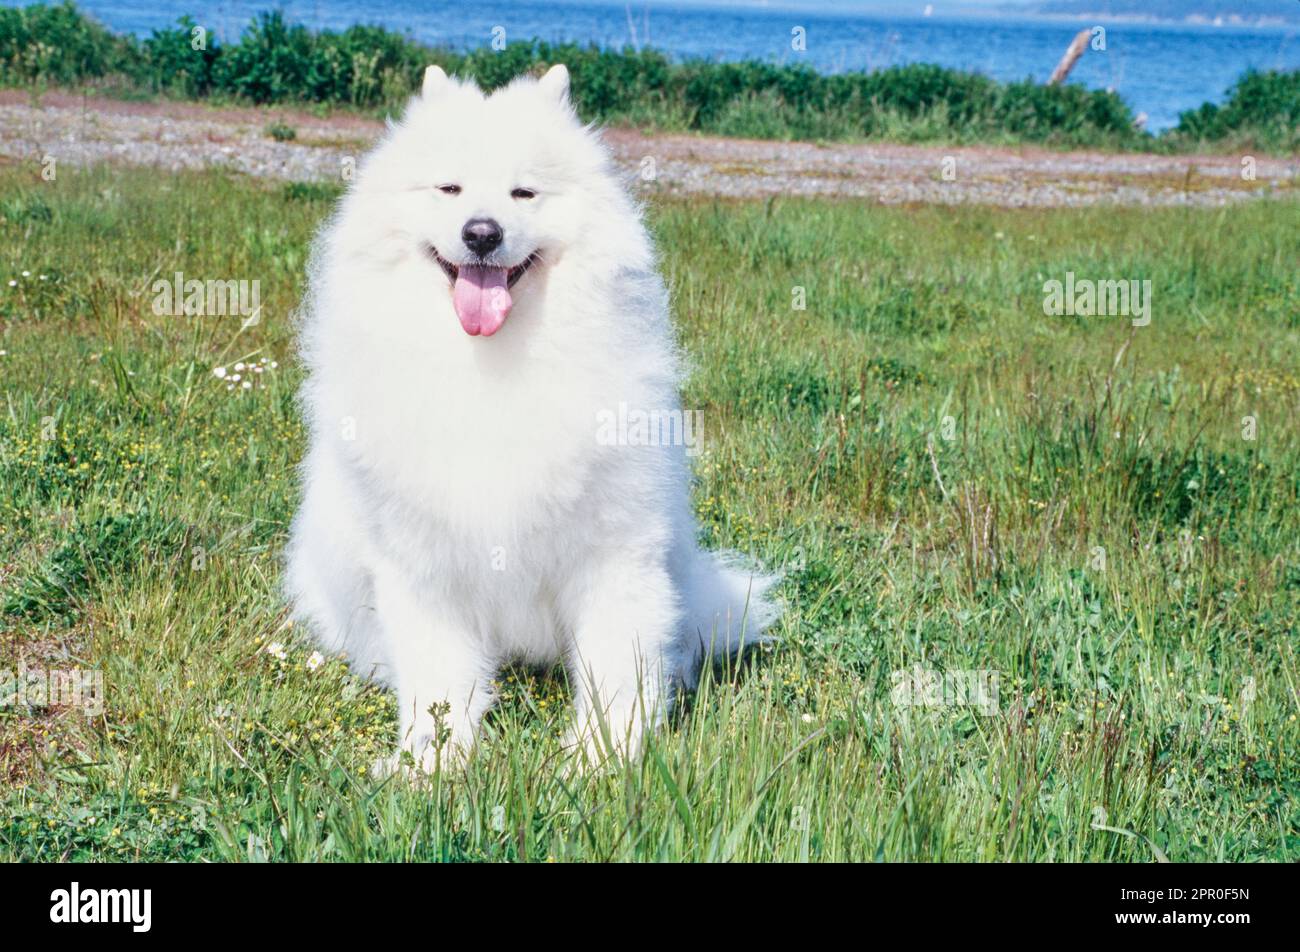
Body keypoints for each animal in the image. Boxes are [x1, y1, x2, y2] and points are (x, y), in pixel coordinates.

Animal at [287, 63, 769, 769]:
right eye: (450, 188)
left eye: (525, 192)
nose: (482, 233)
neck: (494, 364)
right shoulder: (424, 562)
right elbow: (438, 679)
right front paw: (430, 766)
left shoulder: (615, 552)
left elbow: (616, 668)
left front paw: (601, 762)